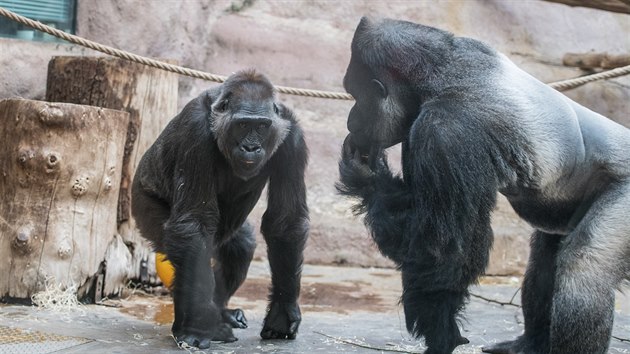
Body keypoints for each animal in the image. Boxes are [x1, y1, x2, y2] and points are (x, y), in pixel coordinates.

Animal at [132, 69, 310, 348]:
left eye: (262, 126)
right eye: (243, 125)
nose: (251, 147)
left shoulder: (293, 136)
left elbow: (286, 222)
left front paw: (283, 311)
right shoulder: (195, 130)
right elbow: (193, 224)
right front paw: (196, 327)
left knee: (240, 246)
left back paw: (222, 312)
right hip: (142, 205)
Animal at [338, 16, 630, 354]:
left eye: (356, 95)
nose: (350, 120)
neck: (440, 73)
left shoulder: (445, 131)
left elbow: (445, 251)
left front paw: (440, 331)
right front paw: (369, 179)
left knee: (584, 268)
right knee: (546, 255)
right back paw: (530, 343)